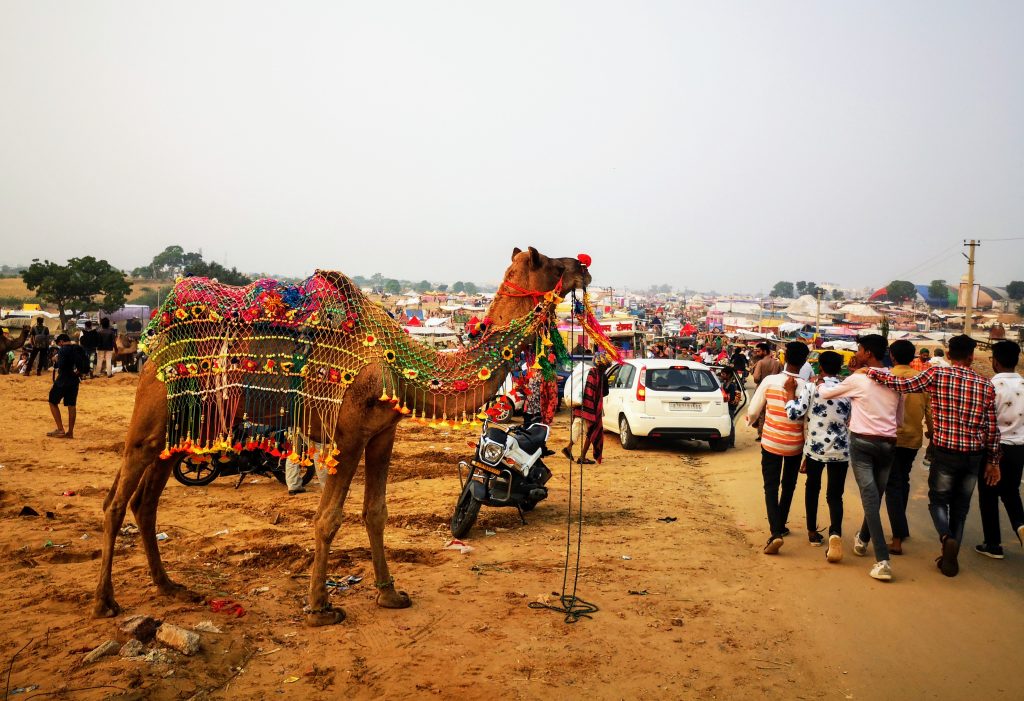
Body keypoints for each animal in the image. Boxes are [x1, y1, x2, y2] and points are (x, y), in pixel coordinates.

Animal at [96, 245, 593, 622]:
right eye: (550, 262)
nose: (584, 265)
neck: (396, 368)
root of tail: (152, 344)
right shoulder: (347, 434)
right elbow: (328, 518)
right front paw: (319, 608)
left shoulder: (381, 435)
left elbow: (376, 512)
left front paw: (390, 594)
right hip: (151, 417)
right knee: (116, 501)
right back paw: (106, 602)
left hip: (183, 425)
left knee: (146, 502)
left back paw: (169, 586)